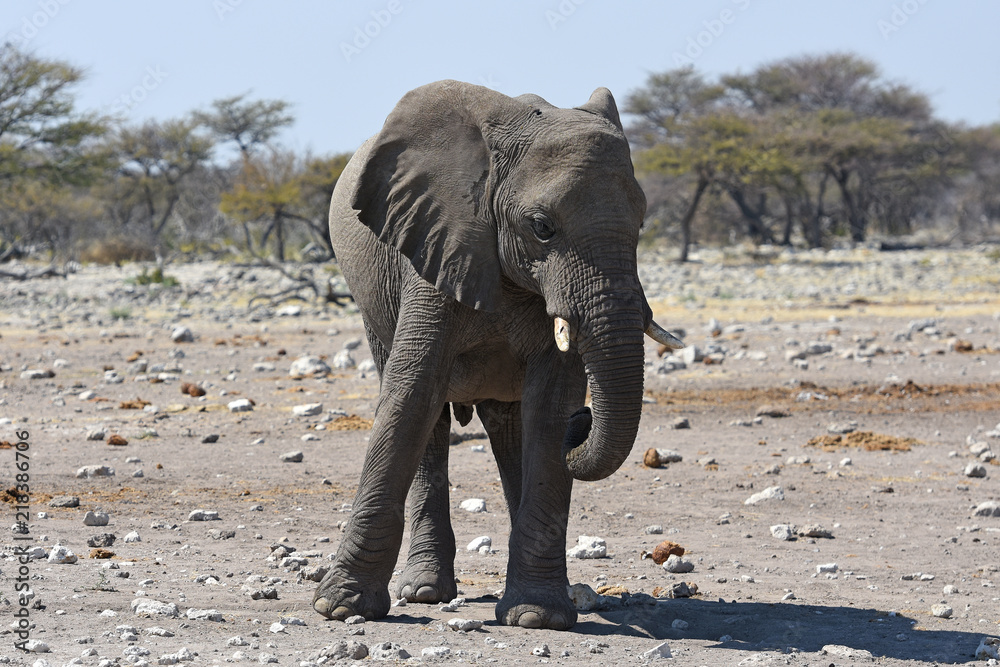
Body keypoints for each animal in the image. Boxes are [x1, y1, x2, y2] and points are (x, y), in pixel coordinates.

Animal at [313, 80, 682, 630]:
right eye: (542, 226)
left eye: (641, 222)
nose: (585, 422)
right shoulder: (436, 243)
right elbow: (410, 396)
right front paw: (339, 608)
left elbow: (549, 409)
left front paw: (536, 617)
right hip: (371, 300)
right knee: (432, 420)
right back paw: (425, 592)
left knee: (512, 428)